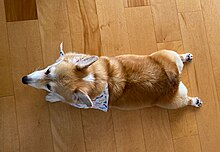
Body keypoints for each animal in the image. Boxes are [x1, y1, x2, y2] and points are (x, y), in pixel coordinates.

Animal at [21, 43, 202, 111]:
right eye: (48, 70)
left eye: (49, 86)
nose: (24, 79)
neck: (96, 78)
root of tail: (175, 79)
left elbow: (61, 99)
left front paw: (51, 97)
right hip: (167, 54)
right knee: (178, 57)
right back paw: (186, 56)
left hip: (173, 102)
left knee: (186, 101)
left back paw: (195, 101)